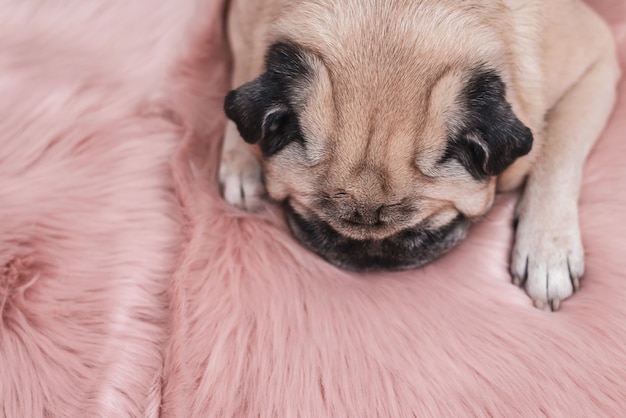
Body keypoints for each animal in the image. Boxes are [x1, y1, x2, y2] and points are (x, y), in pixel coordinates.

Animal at [218, 0, 620, 308]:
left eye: (422, 234)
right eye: (313, 225)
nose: (369, 259)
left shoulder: (599, 60)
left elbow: (557, 154)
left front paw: (547, 249)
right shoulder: (243, 16)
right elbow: (243, 65)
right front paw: (240, 158)